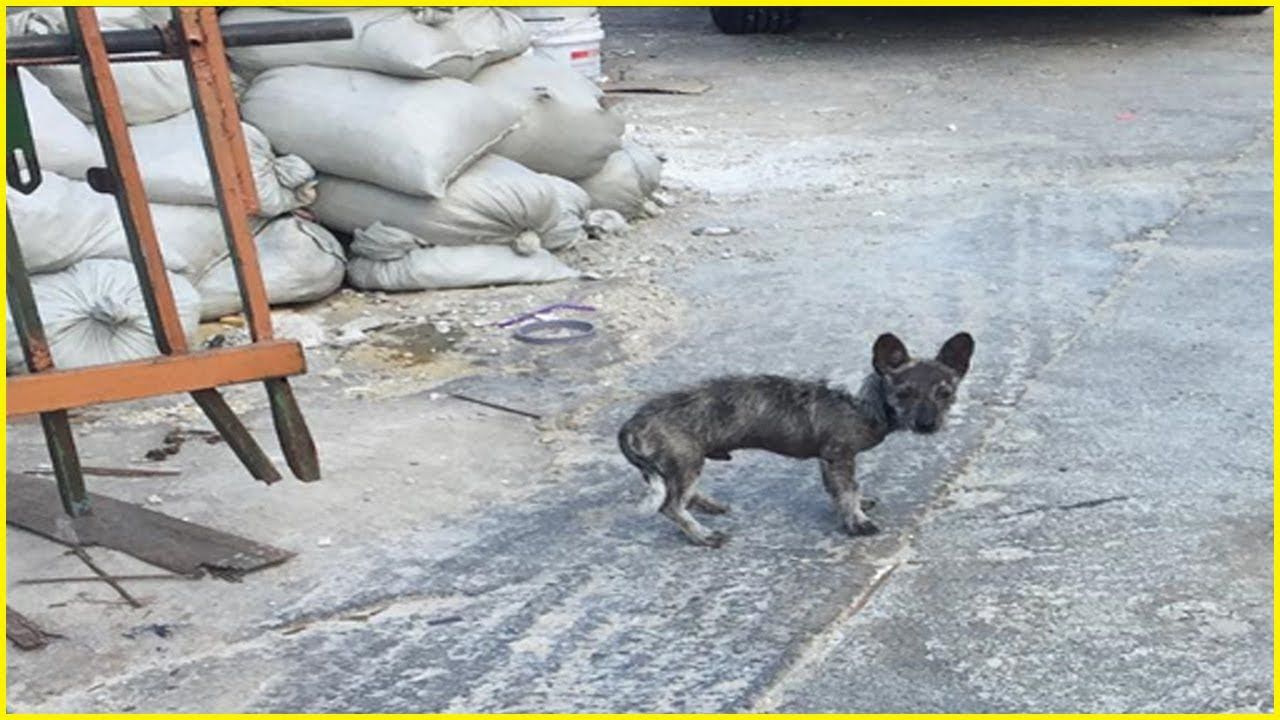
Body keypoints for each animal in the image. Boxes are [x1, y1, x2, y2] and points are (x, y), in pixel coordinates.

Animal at [618, 332, 974, 547]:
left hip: (682, 464)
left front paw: (853, 509)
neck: (862, 401)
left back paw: (704, 505)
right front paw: (857, 521)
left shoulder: (828, 459)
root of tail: (634, 422)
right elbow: (848, 490)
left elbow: (839, 491)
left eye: (945, 393)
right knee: (670, 506)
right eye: (904, 393)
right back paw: (702, 535)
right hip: (687, 462)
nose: (928, 425)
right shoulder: (839, 455)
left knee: (679, 497)